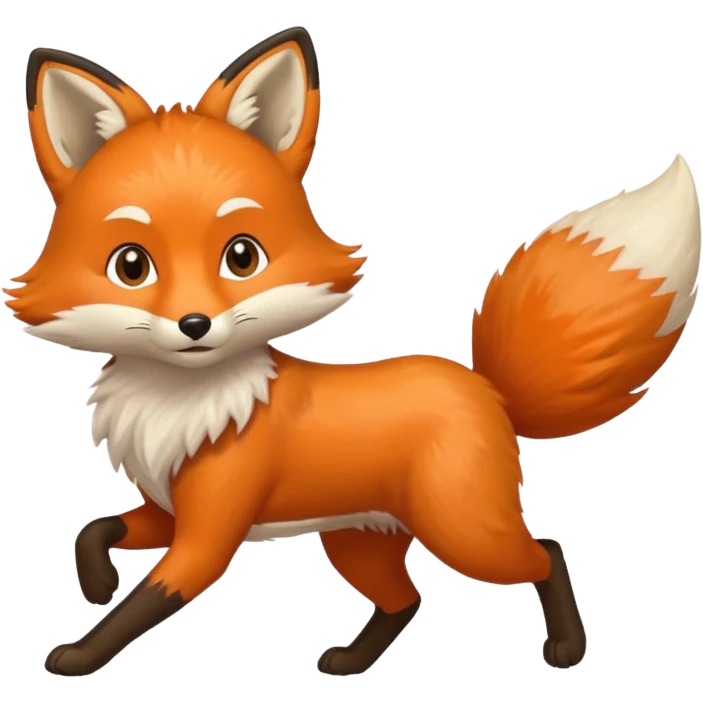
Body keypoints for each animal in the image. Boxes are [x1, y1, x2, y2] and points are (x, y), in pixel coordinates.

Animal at [11, 28, 702, 678]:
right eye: (131, 266)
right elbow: (94, 530)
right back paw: (350, 662)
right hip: (357, 541)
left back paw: (565, 648)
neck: (180, 401)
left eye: (242, 257)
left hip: (464, 532)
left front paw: (78, 655)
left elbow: (140, 606)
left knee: (547, 553)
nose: (195, 323)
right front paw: (96, 582)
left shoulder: (209, 530)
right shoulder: (168, 508)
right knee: (407, 601)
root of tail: (488, 388)